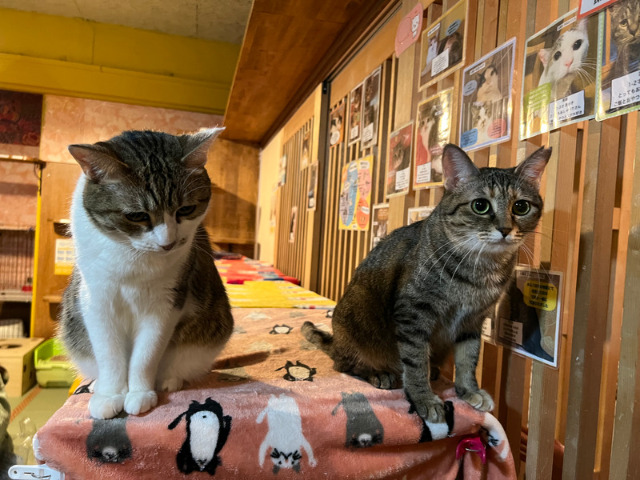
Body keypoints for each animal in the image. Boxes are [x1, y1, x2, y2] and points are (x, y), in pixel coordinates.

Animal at [59, 128, 234, 420]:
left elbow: (146, 355)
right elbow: (109, 353)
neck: (133, 258)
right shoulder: (97, 300)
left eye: (185, 209)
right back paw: (96, 384)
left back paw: (169, 380)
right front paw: (110, 395)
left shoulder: (166, 303)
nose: (168, 243)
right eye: (137, 216)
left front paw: (140, 393)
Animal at [303, 144, 551, 423]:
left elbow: (468, 359)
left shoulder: (473, 320)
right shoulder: (414, 313)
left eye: (521, 206)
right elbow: (415, 360)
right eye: (480, 205)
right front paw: (423, 398)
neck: (481, 268)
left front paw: (468, 391)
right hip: (357, 315)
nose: (506, 229)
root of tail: (335, 341)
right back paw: (378, 373)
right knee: (345, 364)